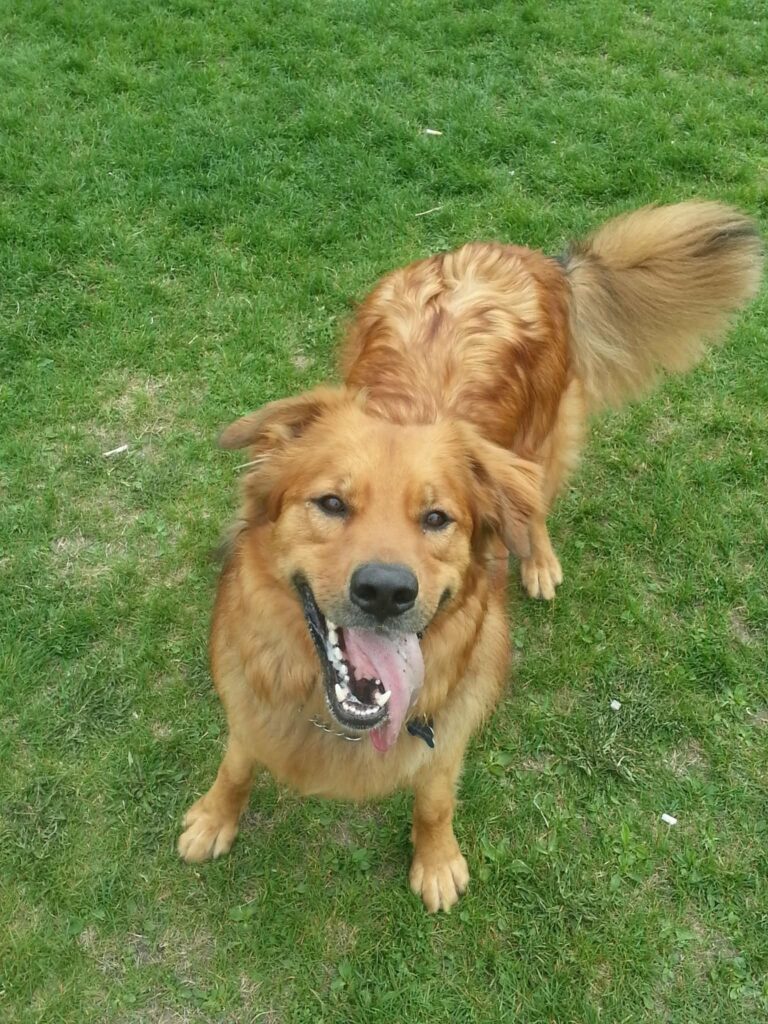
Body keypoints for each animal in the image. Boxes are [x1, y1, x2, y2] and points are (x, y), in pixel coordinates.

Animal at [178, 202, 761, 911]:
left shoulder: (448, 727)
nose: (385, 591)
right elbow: (237, 761)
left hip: (538, 448)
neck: (333, 716)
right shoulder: (249, 698)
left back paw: (538, 560)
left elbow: (433, 800)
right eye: (332, 503)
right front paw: (214, 816)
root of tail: (531, 258)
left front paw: (435, 861)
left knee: (532, 504)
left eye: (437, 518)